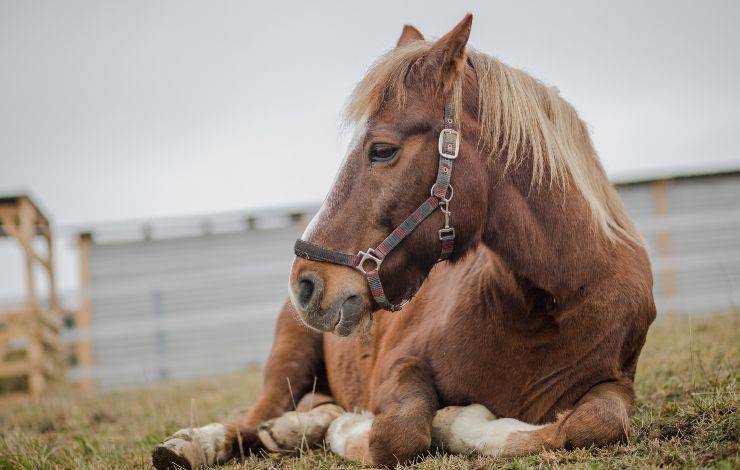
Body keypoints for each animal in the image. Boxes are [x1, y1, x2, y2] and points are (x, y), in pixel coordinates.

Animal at [152, 13, 655, 469]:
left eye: (381, 150)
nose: (306, 284)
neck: (548, 302)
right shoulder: (400, 364)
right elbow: (397, 434)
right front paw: (365, 426)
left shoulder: (616, 382)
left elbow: (592, 425)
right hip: (288, 359)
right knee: (250, 419)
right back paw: (195, 445)